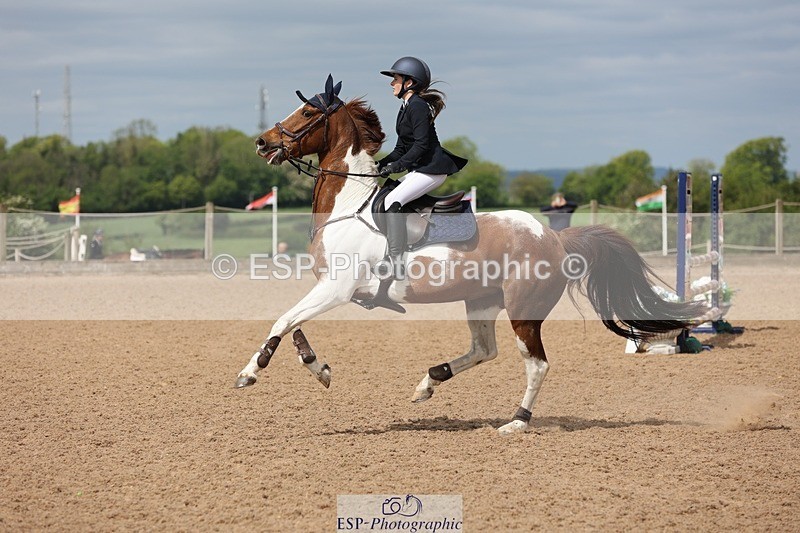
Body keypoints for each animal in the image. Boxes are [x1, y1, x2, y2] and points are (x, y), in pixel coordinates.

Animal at [235, 75, 700, 434]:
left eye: (307, 114)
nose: (261, 142)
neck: (348, 204)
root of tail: (554, 239)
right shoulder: (328, 287)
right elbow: (294, 323)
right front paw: (319, 368)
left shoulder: (338, 288)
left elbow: (283, 320)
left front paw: (250, 372)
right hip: (480, 301)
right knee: (484, 350)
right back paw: (428, 383)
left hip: (523, 311)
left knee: (536, 365)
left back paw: (517, 421)